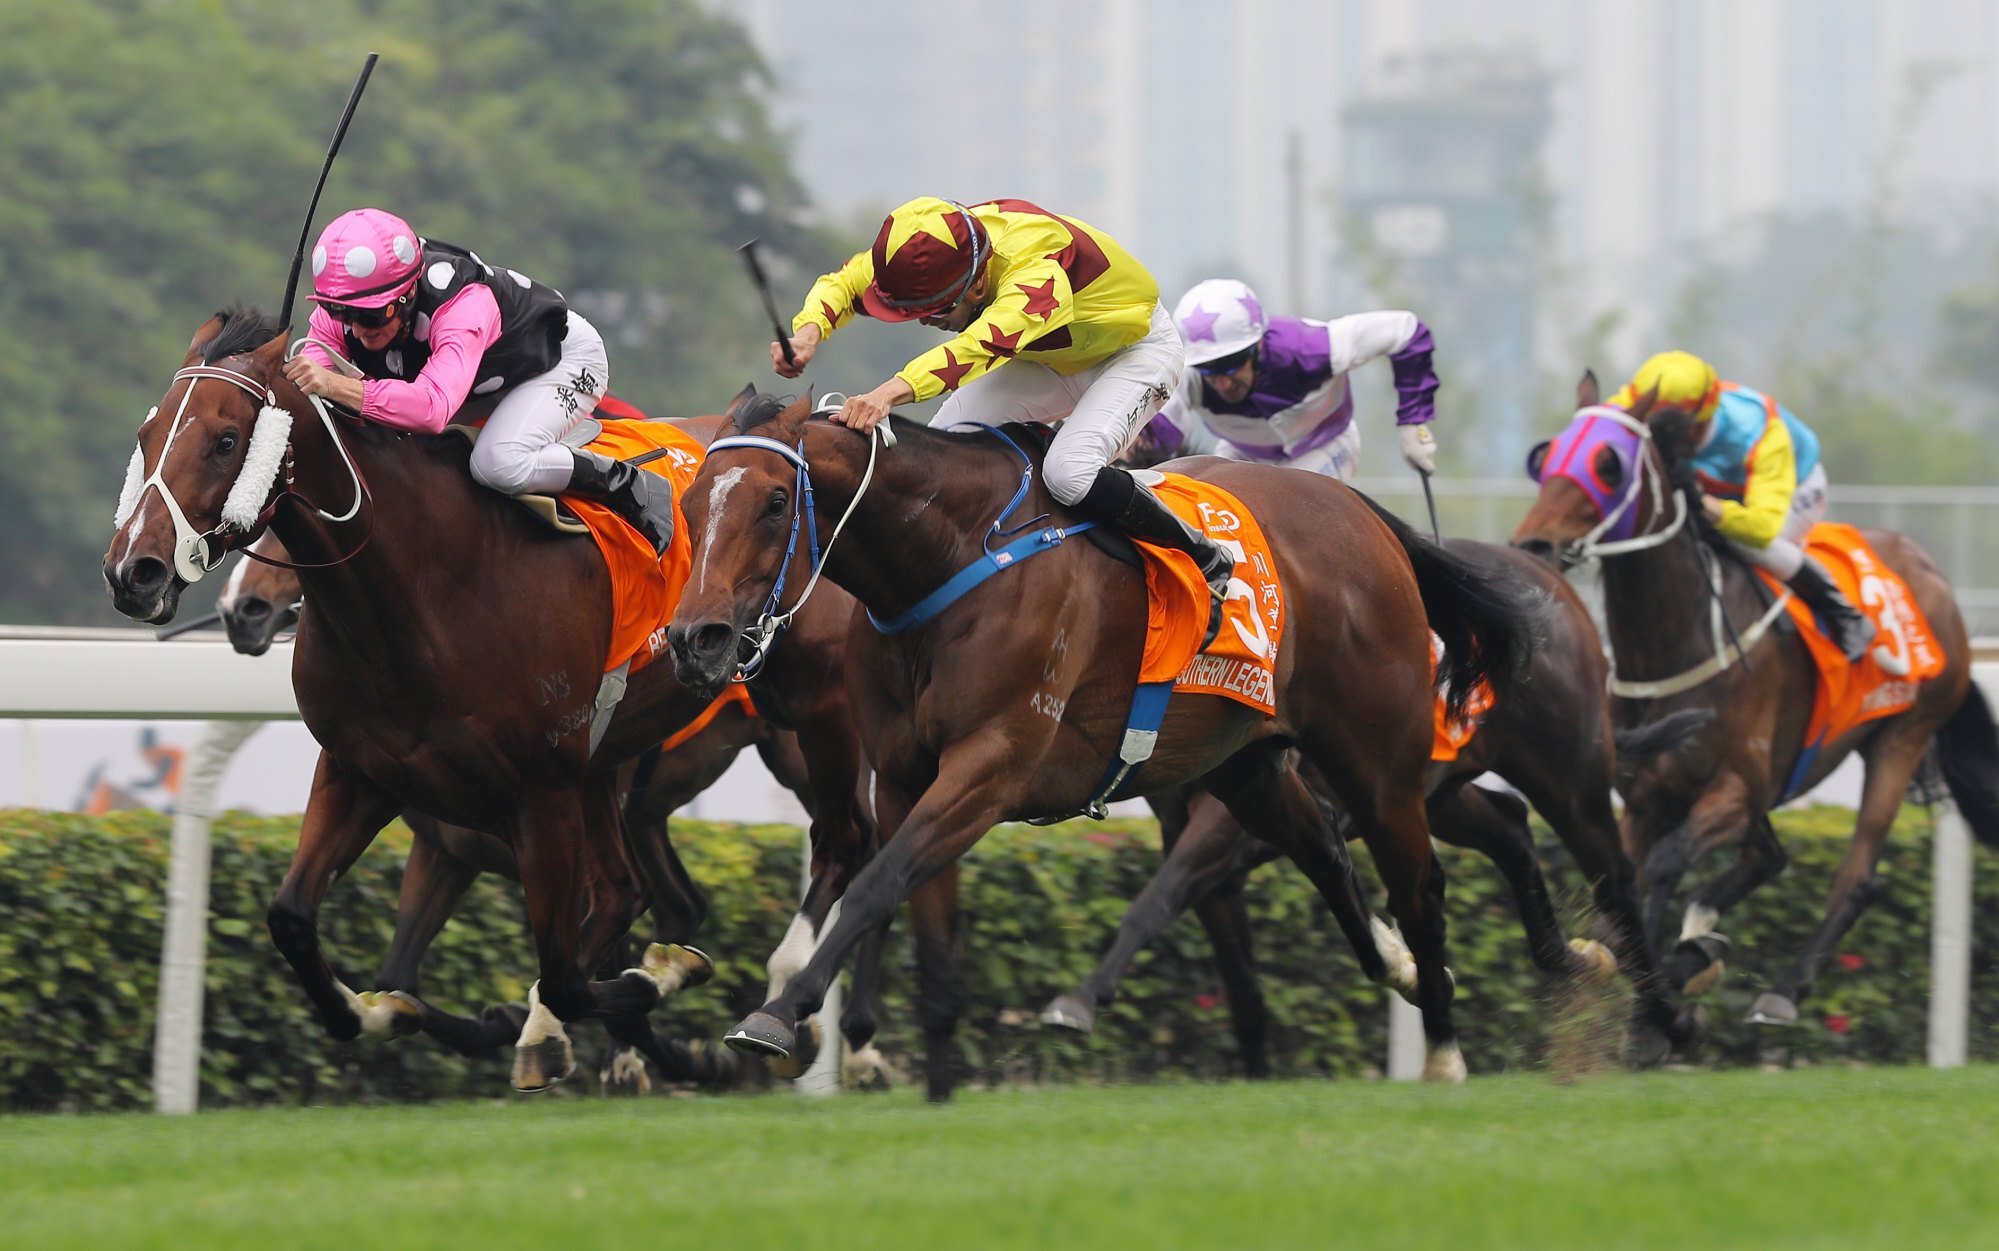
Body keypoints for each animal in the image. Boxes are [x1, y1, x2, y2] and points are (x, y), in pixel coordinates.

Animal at [103, 309, 875, 1079]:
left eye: (226, 440)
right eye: (145, 437)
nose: (134, 571)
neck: (423, 596)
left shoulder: (541, 793)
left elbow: (567, 977)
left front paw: (637, 997)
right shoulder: (372, 778)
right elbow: (298, 921)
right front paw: (373, 1010)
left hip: (812, 721)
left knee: (848, 839)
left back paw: (800, 1013)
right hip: (610, 769)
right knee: (635, 888)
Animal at [667, 387, 1527, 1087]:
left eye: (774, 501)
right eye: (693, 499)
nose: (693, 637)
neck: (947, 557)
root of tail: (1362, 512)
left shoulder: (989, 767)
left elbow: (876, 885)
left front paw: (779, 1013)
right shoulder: (905, 775)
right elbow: (907, 918)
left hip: (1377, 761)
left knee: (1418, 884)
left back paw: (1443, 1047)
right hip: (1245, 764)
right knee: (1322, 850)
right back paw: (1399, 966)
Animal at [1039, 535, 1711, 1063]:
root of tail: (1549, 580)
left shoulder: (1225, 829)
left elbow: (1153, 902)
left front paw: (1078, 1000)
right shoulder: (1205, 848)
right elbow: (1241, 990)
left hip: (1565, 771)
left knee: (1614, 878)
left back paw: (1667, 1019)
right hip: (1428, 791)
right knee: (1510, 827)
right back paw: (1571, 959)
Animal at [1511, 371, 1999, 1023]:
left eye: (1608, 465)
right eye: (1546, 458)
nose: (1534, 545)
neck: (1679, 641)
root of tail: (1931, 571)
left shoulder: (1736, 790)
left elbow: (1665, 863)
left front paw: (1655, 998)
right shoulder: (1644, 798)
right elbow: (1621, 888)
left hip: (1900, 739)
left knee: (1855, 877)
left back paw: (1780, 990)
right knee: (1770, 856)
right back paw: (1702, 942)